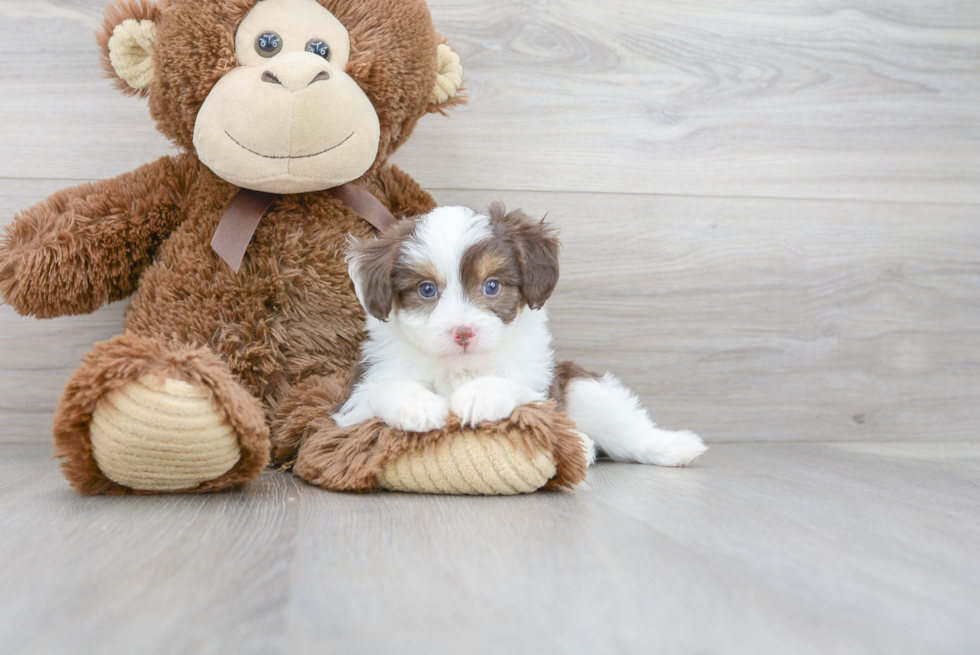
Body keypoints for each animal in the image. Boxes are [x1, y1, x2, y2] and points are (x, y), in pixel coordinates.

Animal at [334, 205, 708, 466]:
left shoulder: (542, 391)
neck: (461, 367)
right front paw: (417, 404)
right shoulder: (350, 411)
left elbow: (513, 385)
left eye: (492, 286)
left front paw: (481, 395)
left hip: (581, 388)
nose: (463, 332)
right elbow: (383, 391)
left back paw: (672, 446)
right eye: (427, 289)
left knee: (624, 426)